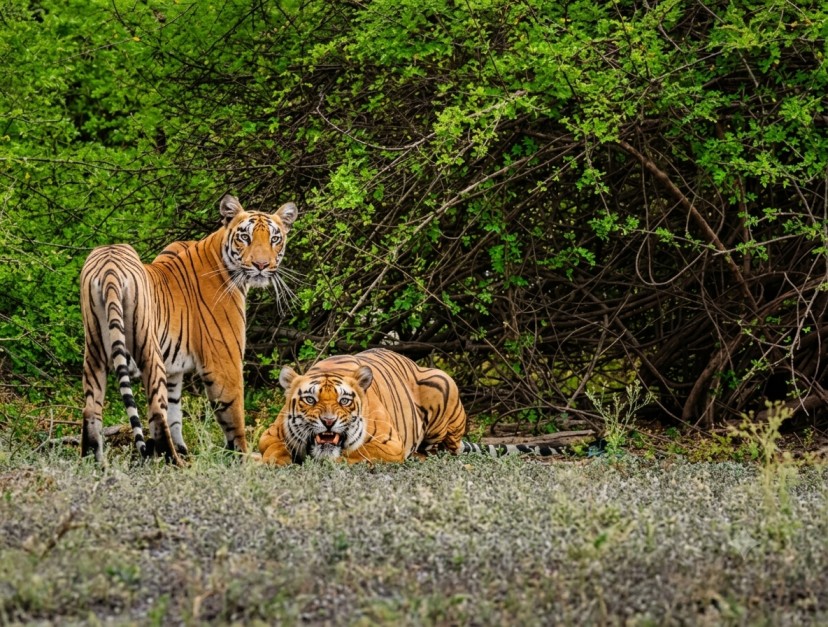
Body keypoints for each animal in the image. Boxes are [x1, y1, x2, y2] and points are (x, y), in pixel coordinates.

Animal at [80, 194, 297, 465]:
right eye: (245, 237)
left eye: (274, 238)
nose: (261, 265)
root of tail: (109, 266)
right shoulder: (224, 361)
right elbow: (233, 413)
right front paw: (244, 458)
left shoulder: (175, 369)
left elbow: (175, 412)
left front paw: (184, 448)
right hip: (149, 351)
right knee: (155, 413)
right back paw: (174, 463)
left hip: (94, 353)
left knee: (91, 411)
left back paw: (95, 463)